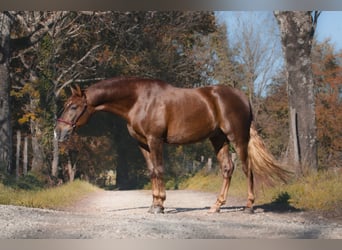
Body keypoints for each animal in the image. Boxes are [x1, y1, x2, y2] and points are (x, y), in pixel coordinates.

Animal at [54, 76, 290, 213]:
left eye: (73, 107)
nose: (58, 131)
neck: (138, 100)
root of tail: (242, 97)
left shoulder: (155, 140)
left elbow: (159, 170)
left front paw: (160, 205)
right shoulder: (142, 144)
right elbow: (152, 172)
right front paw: (154, 204)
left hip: (238, 138)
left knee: (247, 168)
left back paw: (249, 206)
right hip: (218, 138)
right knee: (227, 168)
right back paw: (216, 206)